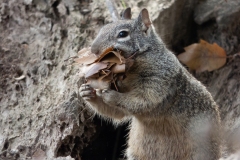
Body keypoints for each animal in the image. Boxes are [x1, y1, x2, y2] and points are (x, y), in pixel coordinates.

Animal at [79, 8, 222, 159]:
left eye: (123, 34)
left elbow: (143, 100)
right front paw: (87, 92)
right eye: (103, 28)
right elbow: (118, 113)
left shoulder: (159, 79)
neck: (132, 70)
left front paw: (112, 96)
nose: (93, 50)